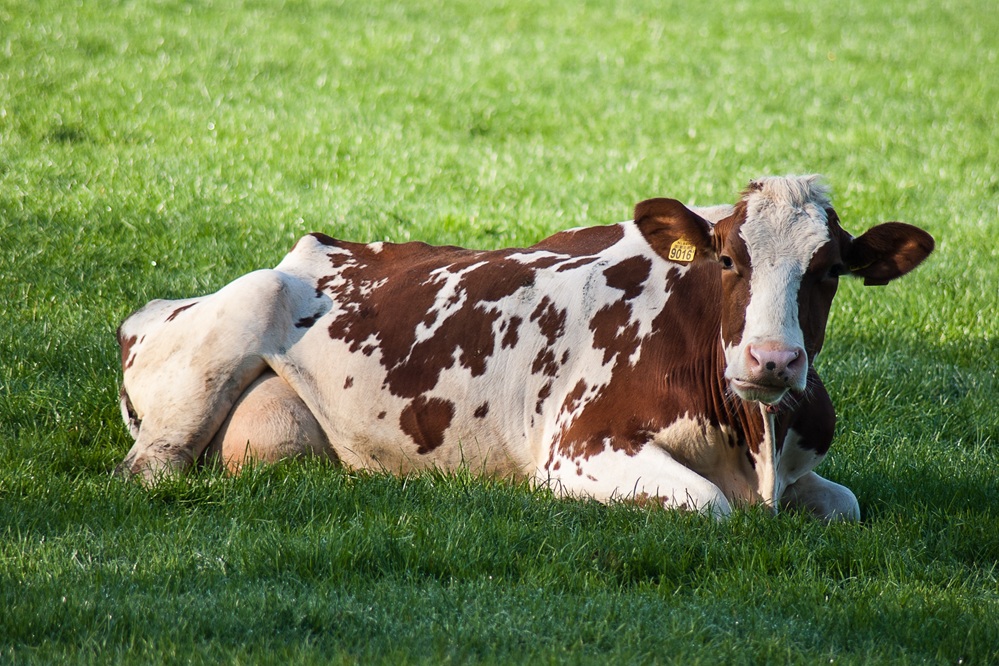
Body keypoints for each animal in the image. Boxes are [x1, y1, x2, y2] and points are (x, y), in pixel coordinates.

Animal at [115, 175, 934, 519]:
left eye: (826, 271)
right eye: (728, 259)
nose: (773, 361)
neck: (752, 440)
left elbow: (846, 504)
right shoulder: (578, 447)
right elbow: (707, 506)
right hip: (233, 328)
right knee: (149, 470)